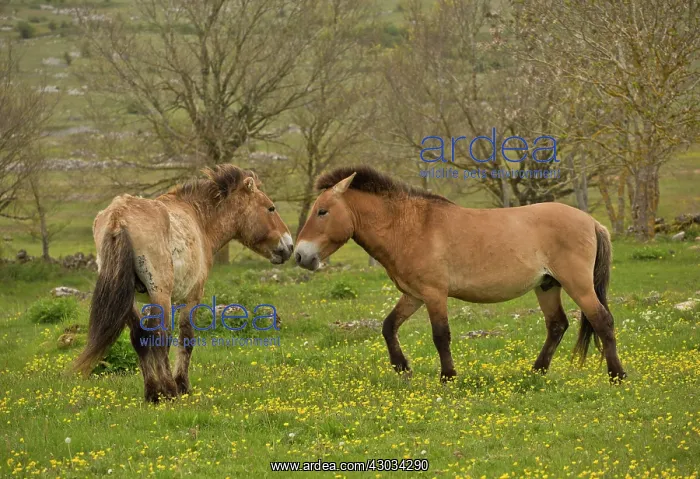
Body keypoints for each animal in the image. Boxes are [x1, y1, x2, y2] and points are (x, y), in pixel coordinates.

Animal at [74, 165, 294, 402]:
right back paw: (169, 390)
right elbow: (186, 337)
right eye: (270, 208)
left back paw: (152, 392)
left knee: (139, 337)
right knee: (159, 336)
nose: (289, 246)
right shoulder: (192, 296)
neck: (198, 219)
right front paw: (182, 385)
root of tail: (118, 217)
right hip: (160, 294)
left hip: (130, 300)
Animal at [294, 165, 626, 383]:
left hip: (577, 285)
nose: (299, 254)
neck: (411, 226)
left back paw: (617, 375)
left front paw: (448, 376)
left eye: (322, 211)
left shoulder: (434, 294)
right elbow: (389, 327)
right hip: (547, 285)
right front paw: (402, 367)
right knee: (557, 325)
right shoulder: (413, 295)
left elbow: (441, 336)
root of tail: (592, 222)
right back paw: (537, 371)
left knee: (602, 320)